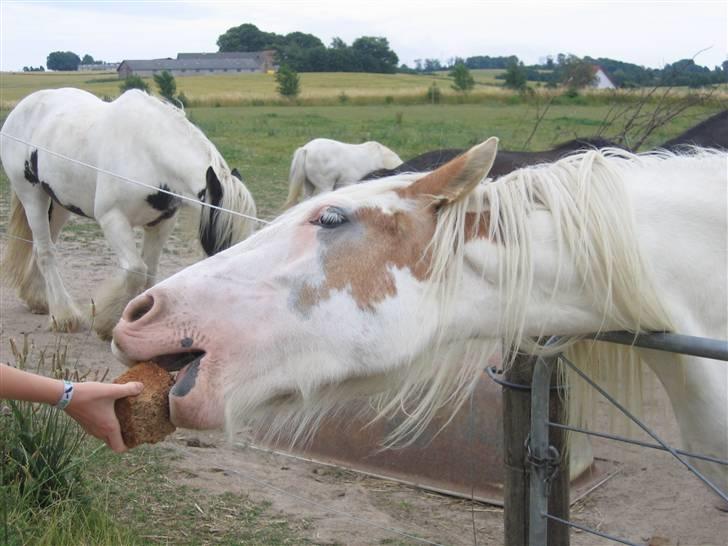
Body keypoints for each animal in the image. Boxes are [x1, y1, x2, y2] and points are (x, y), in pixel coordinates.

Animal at [1, 87, 258, 338]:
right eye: (225, 238)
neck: (149, 153)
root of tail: (22, 107)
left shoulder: (161, 224)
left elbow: (150, 272)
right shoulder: (113, 219)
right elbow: (136, 271)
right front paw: (107, 323)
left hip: (59, 204)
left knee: (42, 247)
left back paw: (40, 301)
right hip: (33, 197)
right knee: (45, 252)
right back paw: (64, 316)